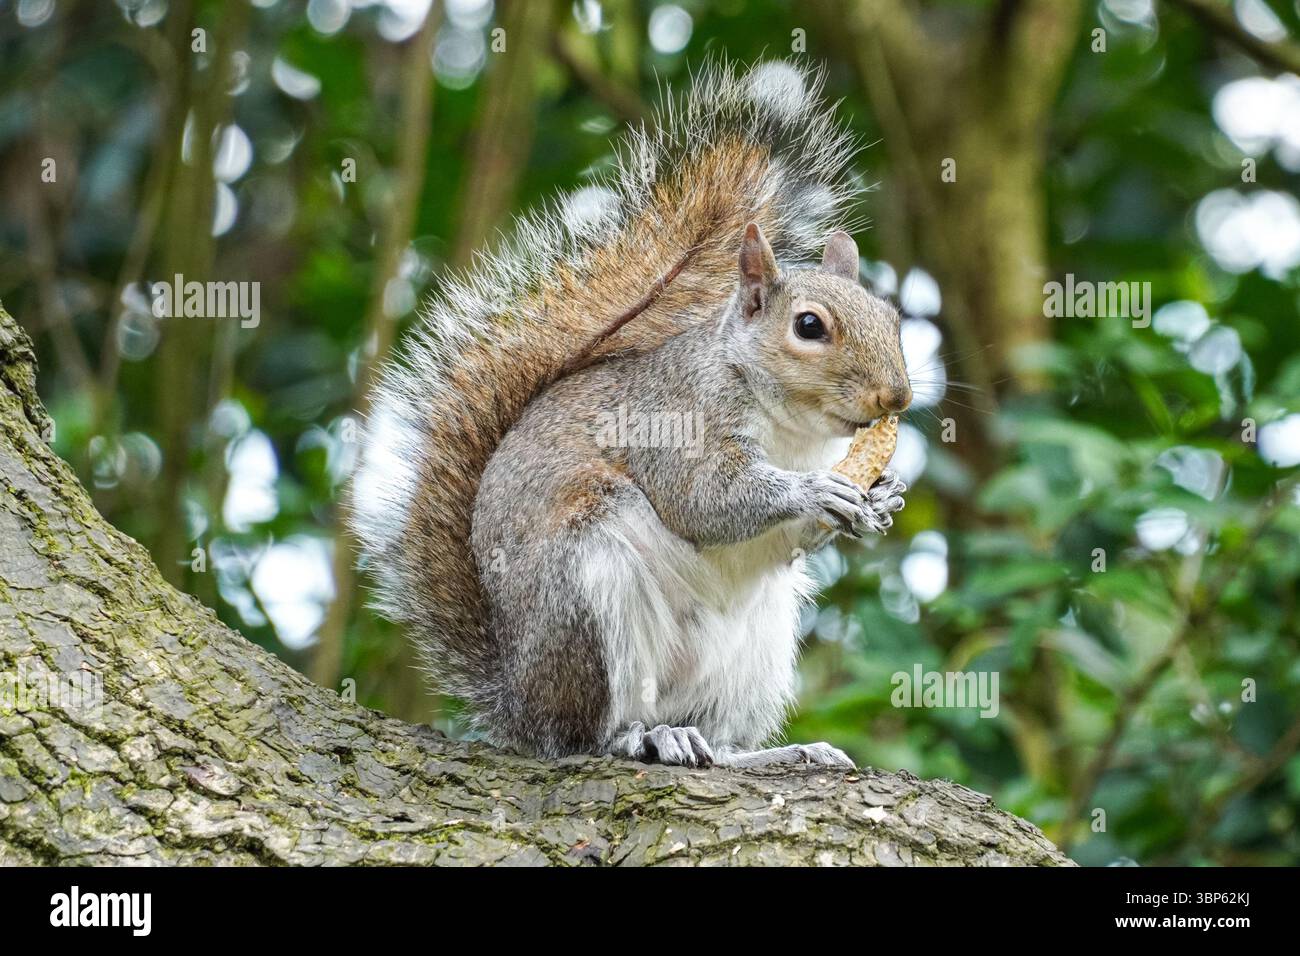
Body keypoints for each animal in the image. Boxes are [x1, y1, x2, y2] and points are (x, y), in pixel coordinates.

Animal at [352, 60, 911, 769]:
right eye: (809, 326)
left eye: (892, 317)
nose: (897, 398)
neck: (792, 430)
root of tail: (519, 701)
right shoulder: (674, 420)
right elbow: (706, 499)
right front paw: (814, 491)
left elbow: (793, 539)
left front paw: (883, 495)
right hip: (588, 590)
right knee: (587, 733)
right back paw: (641, 737)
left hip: (757, 648)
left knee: (716, 742)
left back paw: (769, 753)